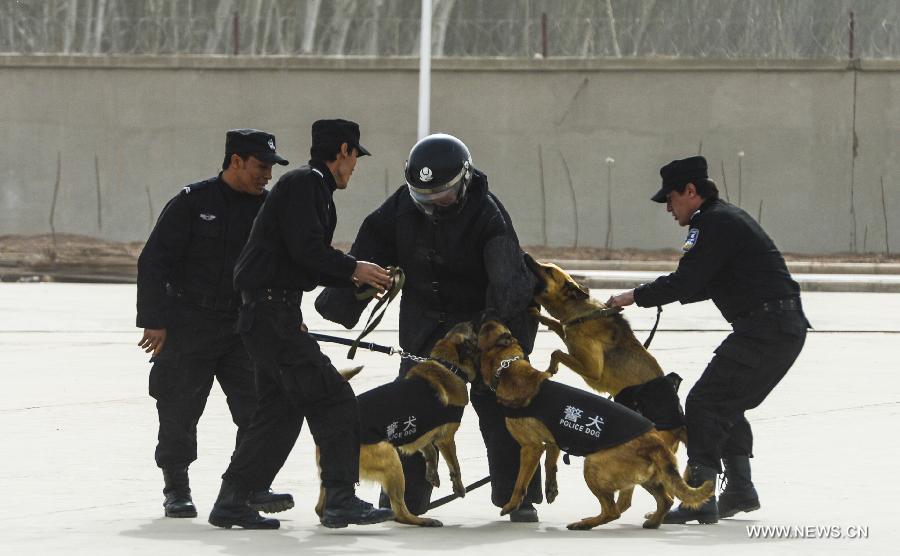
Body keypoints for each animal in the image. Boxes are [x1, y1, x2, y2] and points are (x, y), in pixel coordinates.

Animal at [474, 320, 712, 528]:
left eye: (485, 329)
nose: (487, 316)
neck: (508, 368)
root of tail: (655, 443)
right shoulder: (553, 441)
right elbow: (551, 464)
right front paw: (551, 488)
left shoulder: (531, 448)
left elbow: (520, 483)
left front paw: (512, 505)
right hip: (648, 478)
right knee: (665, 500)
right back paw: (653, 521)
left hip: (593, 466)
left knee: (613, 510)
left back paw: (585, 524)